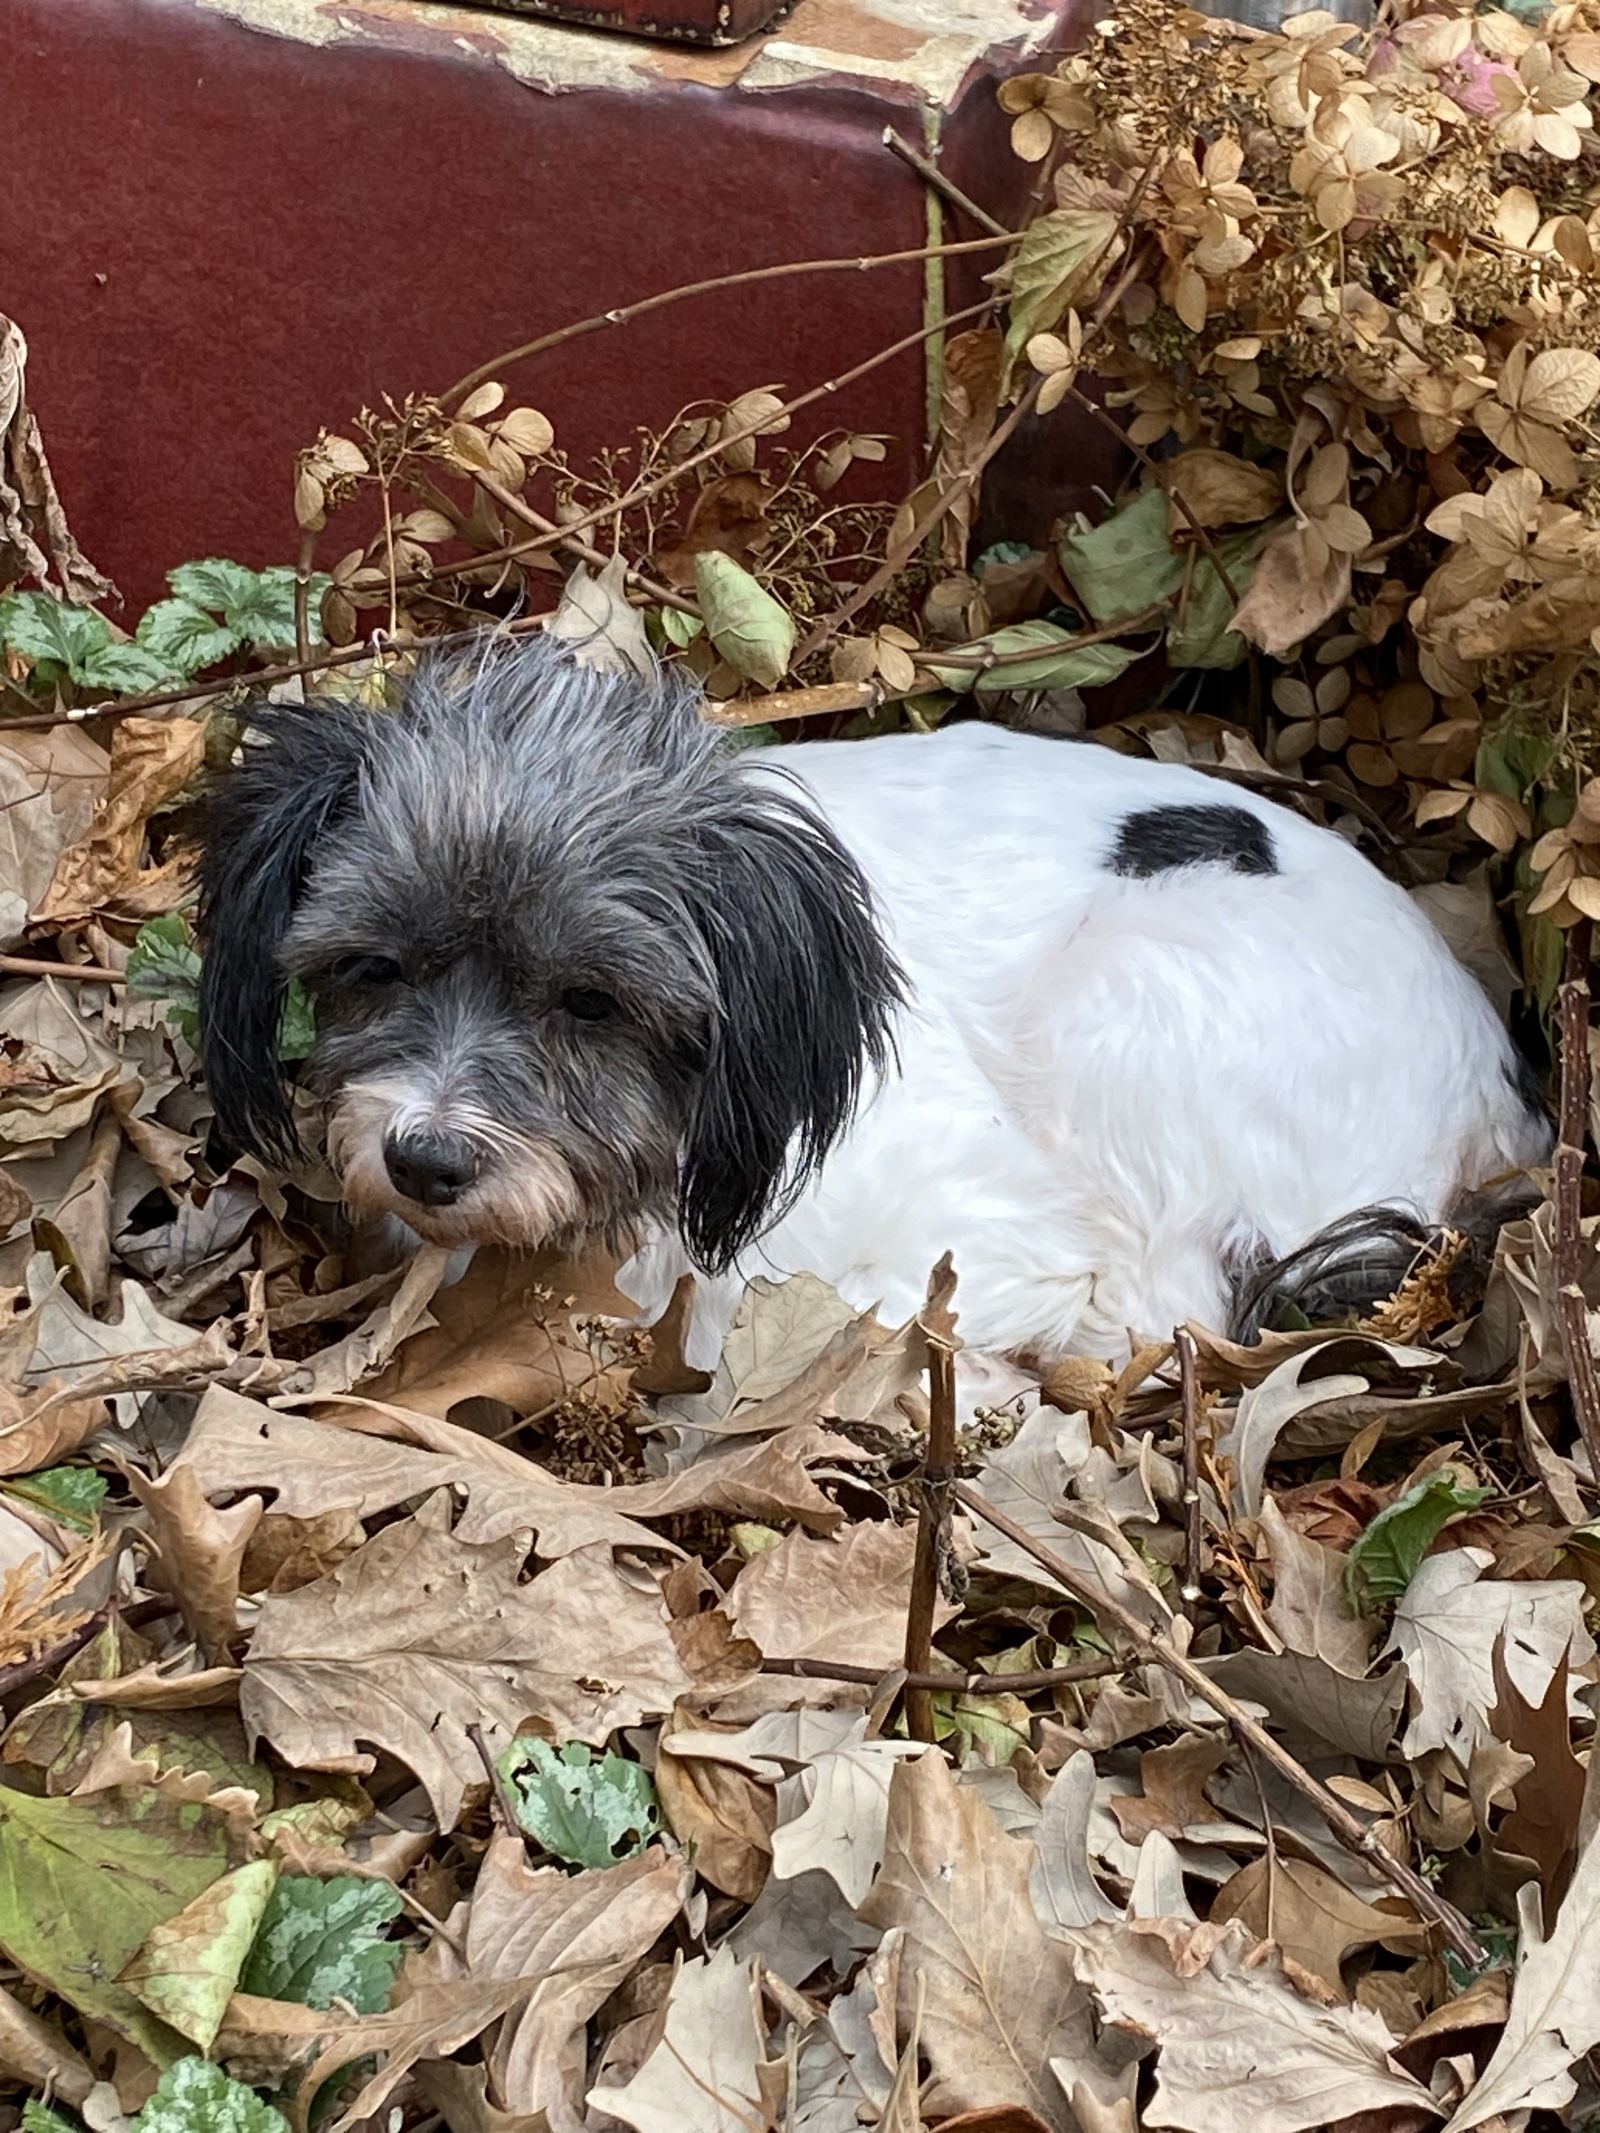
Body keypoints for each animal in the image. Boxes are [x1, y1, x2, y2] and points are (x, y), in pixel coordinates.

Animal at [197, 631, 1553, 1365]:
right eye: (373, 968)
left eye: (589, 1000)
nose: (424, 1159)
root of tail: (1497, 1087)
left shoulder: (977, 1223)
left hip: (1127, 994)